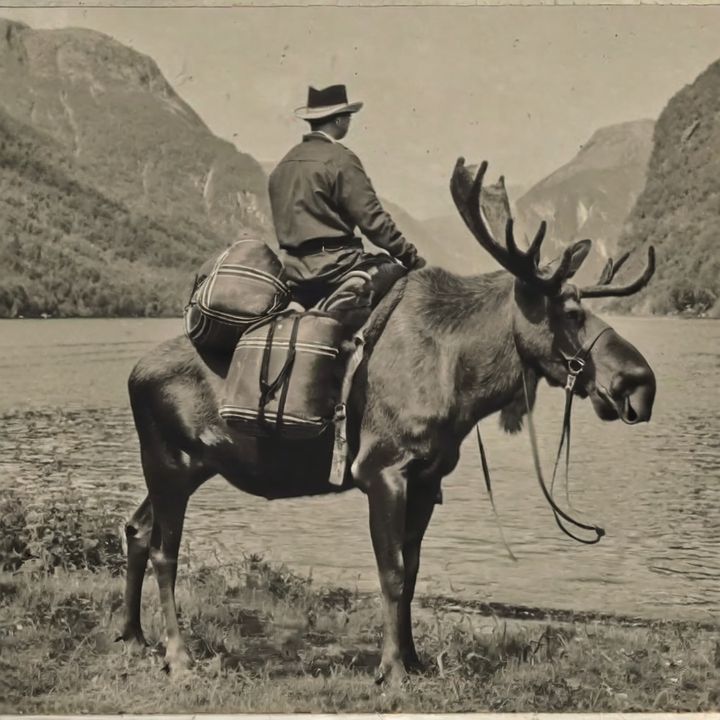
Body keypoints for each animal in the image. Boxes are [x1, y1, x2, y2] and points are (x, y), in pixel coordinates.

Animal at [118, 158, 657, 685]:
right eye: (571, 312)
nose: (640, 383)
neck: (461, 378)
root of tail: (132, 372)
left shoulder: (427, 477)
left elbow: (413, 571)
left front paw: (415, 660)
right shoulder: (381, 470)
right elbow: (392, 572)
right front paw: (391, 669)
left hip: (187, 467)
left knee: (136, 528)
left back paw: (133, 637)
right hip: (168, 463)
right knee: (165, 551)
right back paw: (178, 657)